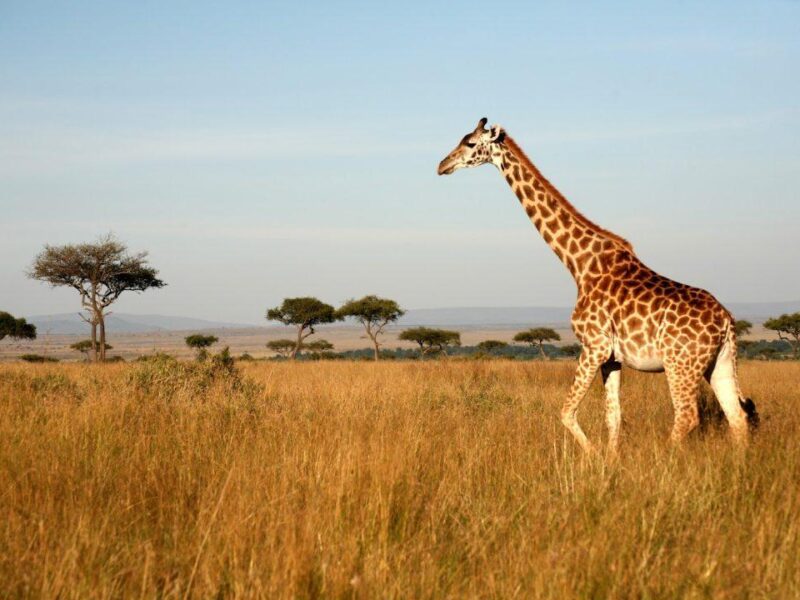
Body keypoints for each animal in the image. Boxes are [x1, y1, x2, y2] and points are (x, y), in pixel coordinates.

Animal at [438, 118, 756, 454]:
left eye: (471, 143)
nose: (442, 165)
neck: (579, 264)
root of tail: (726, 321)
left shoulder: (593, 346)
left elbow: (566, 411)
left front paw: (592, 455)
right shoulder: (612, 358)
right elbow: (613, 417)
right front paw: (611, 460)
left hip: (680, 364)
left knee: (687, 416)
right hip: (720, 363)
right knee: (736, 416)